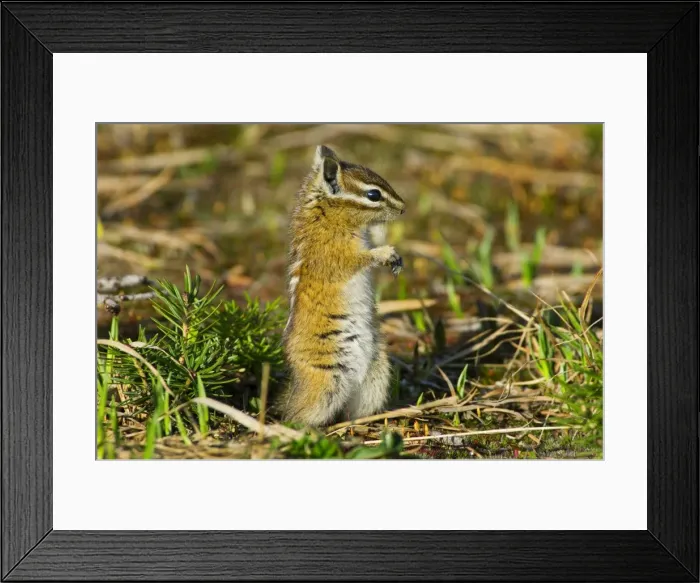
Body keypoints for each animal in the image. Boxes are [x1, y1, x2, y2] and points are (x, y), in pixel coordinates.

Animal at [277, 145, 406, 427]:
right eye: (373, 194)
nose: (403, 209)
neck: (327, 212)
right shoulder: (332, 253)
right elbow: (355, 260)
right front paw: (384, 253)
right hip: (326, 382)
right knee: (296, 415)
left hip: (376, 373)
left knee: (351, 411)